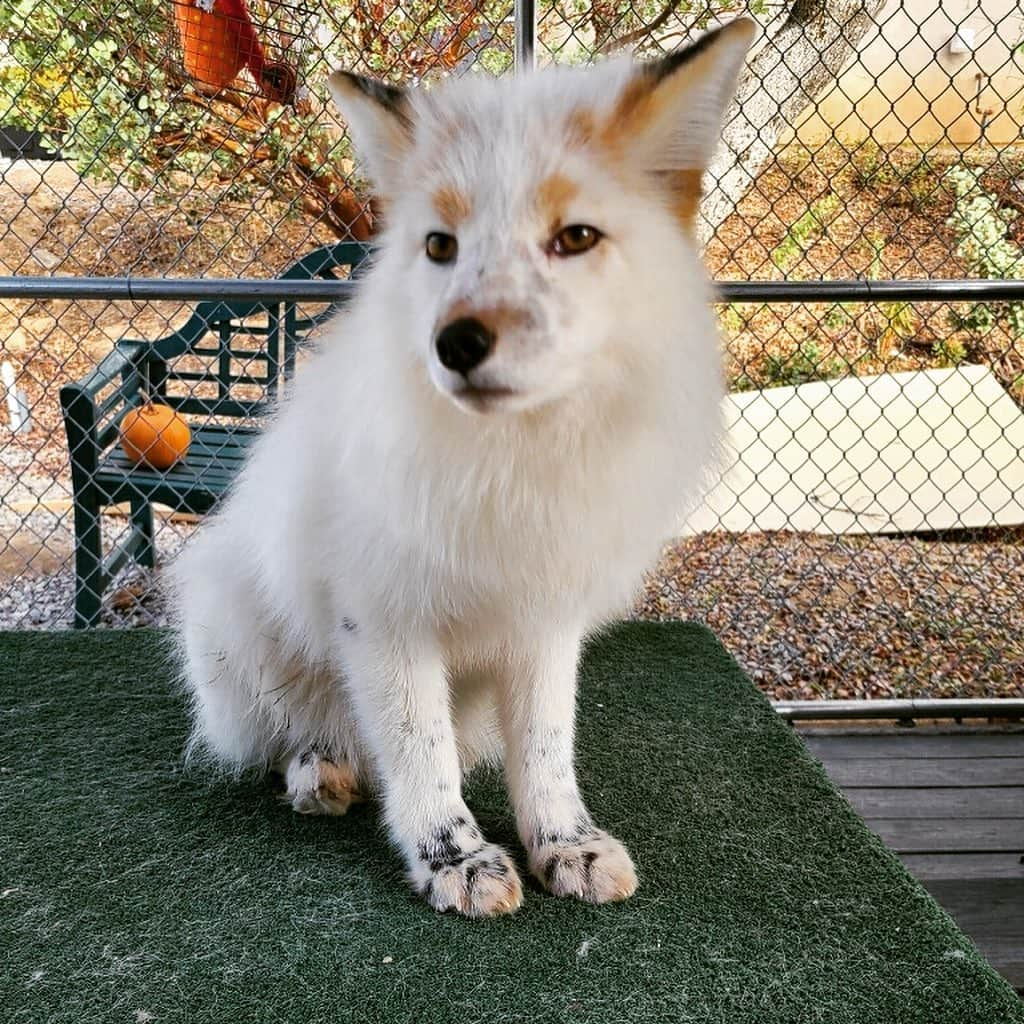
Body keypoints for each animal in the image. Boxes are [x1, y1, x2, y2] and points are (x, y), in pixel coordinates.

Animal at [172, 19, 757, 921]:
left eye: (575, 237)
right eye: (440, 246)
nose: (456, 344)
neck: (513, 471)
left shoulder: (545, 618)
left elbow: (547, 751)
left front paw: (564, 844)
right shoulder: (384, 617)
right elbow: (421, 756)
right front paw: (453, 859)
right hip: (241, 639)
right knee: (292, 738)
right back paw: (318, 768)